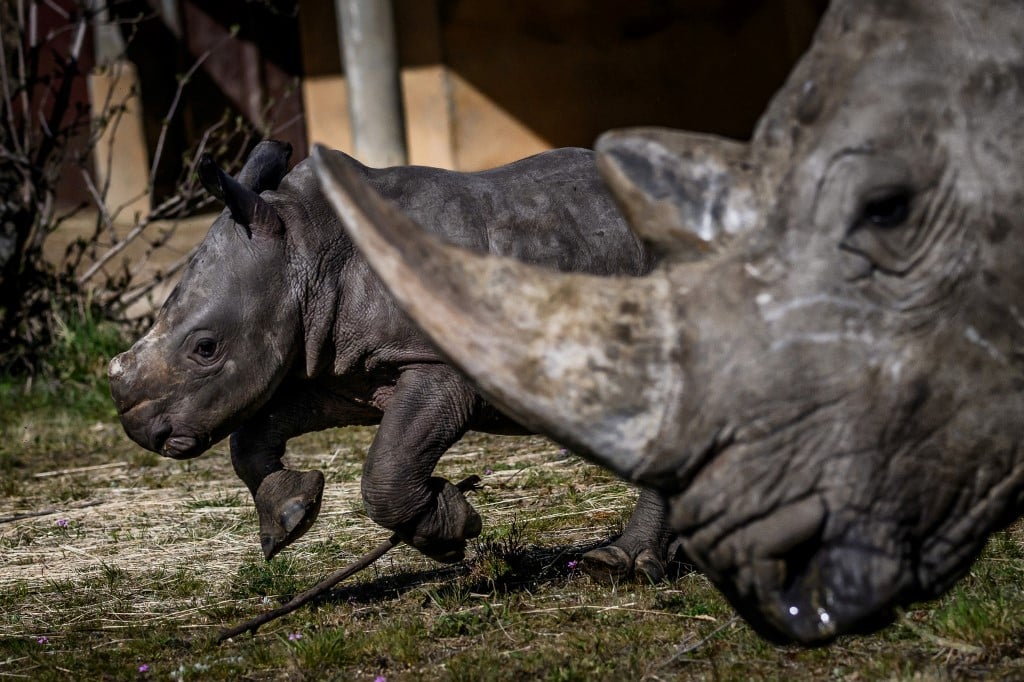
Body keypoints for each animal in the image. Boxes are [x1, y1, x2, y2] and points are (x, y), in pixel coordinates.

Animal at [107, 141, 676, 578]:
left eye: (205, 348)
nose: (142, 430)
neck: (306, 246)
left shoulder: (440, 362)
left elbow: (388, 464)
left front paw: (452, 529)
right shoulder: (337, 366)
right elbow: (253, 432)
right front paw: (291, 517)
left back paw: (619, 564)